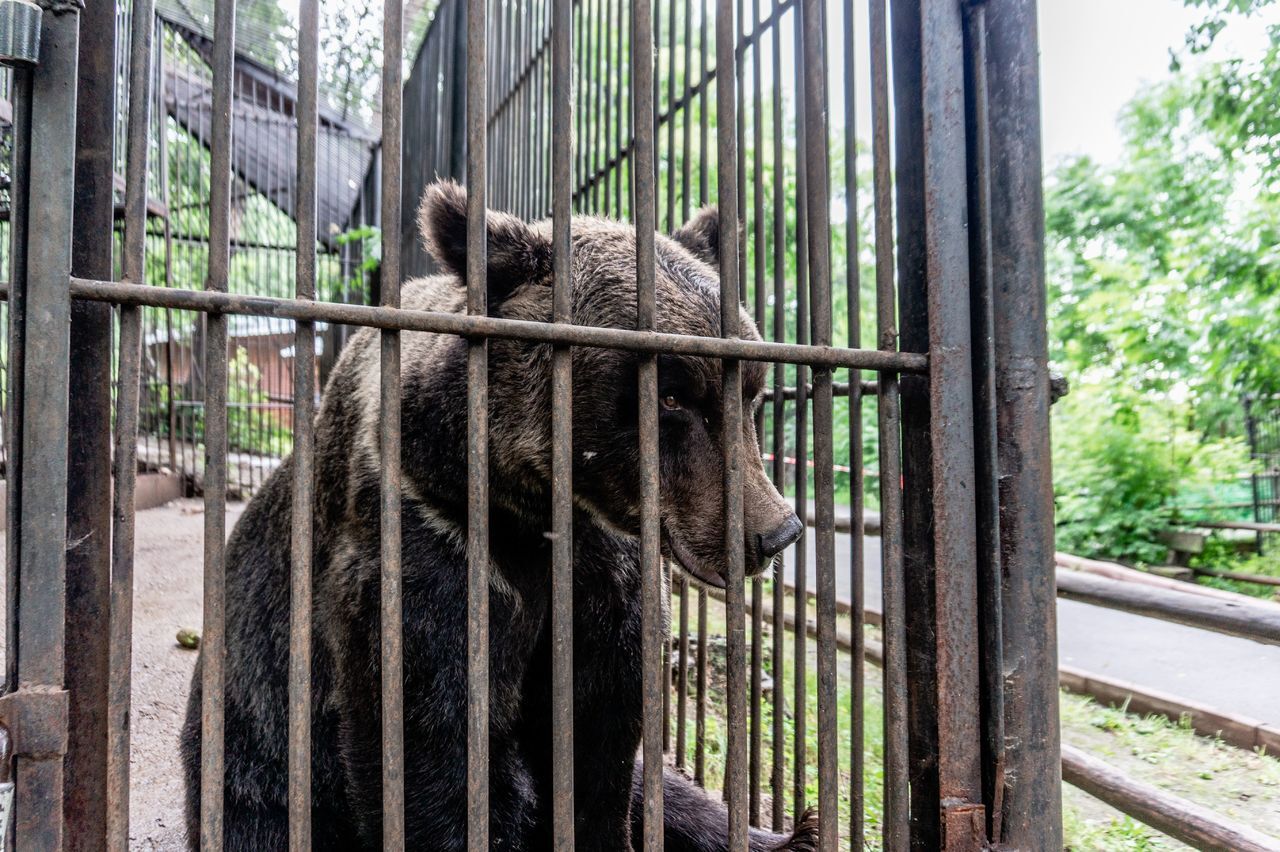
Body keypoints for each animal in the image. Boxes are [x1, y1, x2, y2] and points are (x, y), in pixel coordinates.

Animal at [180, 177, 808, 844]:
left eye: (751, 391)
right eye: (671, 397)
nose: (776, 532)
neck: (540, 511)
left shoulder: (608, 577)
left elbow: (603, 743)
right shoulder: (433, 545)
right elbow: (436, 750)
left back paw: (788, 834)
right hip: (257, 742)